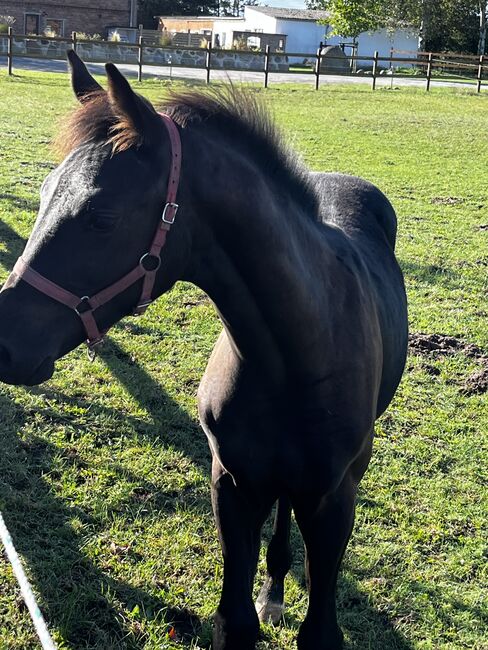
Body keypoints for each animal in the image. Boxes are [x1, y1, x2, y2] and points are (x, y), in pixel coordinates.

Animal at [0, 53, 406, 644]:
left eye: (101, 217)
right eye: (46, 192)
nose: (4, 344)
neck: (295, 355)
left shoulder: (334, 501)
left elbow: (319, 628)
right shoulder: (231, 484)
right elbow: (234, 621)